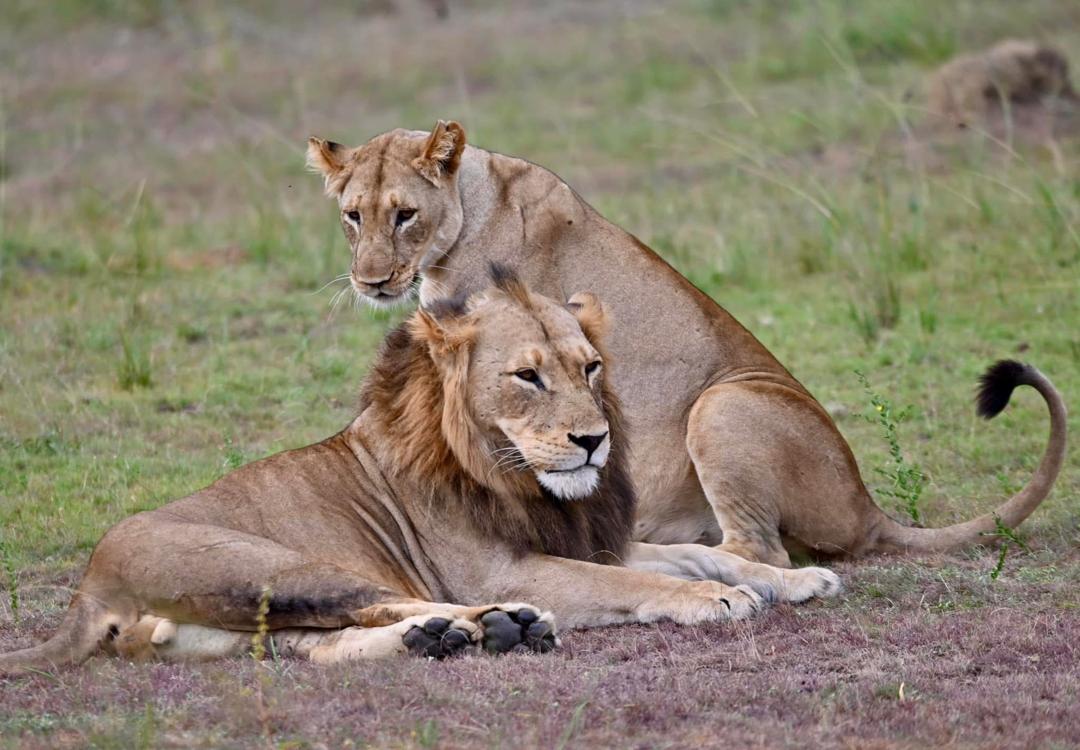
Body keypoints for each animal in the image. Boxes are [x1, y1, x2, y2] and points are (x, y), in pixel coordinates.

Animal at [0, 269, 841, 674]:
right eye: (526, 377)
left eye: (591, 367)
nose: (594, 440)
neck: (519, 477)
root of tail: (87, 586)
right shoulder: (507, 564)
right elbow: (632, 582)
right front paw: (717, 599)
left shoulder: (587, 536)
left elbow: (696, 551)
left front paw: (791, 577)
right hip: (274, 564)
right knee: (385, 604)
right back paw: (498, 625)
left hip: (241, 623)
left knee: (321, 646)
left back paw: (449, 639)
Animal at [306, 121, 1067, 567]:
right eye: (352, 215)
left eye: (405, 214)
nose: (370, 281)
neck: (467, 208)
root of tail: (866, 508)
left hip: (723, 403)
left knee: (761, 552)